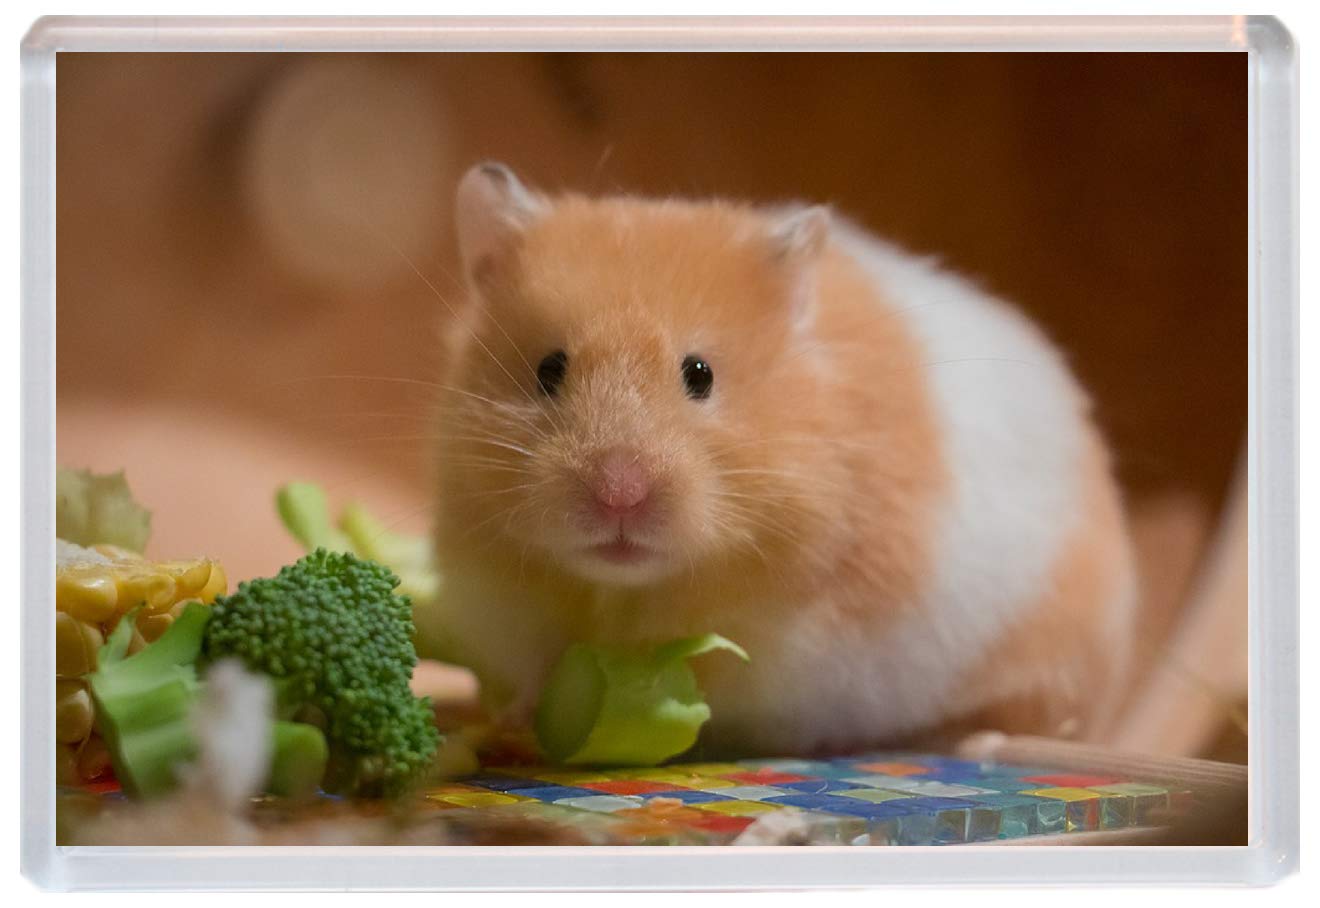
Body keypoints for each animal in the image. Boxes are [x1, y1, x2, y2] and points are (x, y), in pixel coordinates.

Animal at [417, 161, 1135, 755]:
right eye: (548, 369)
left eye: (700, 374)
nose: (620, 494)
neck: (627, 592)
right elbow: (537, 669)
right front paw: (519, 717)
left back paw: (975, 740)